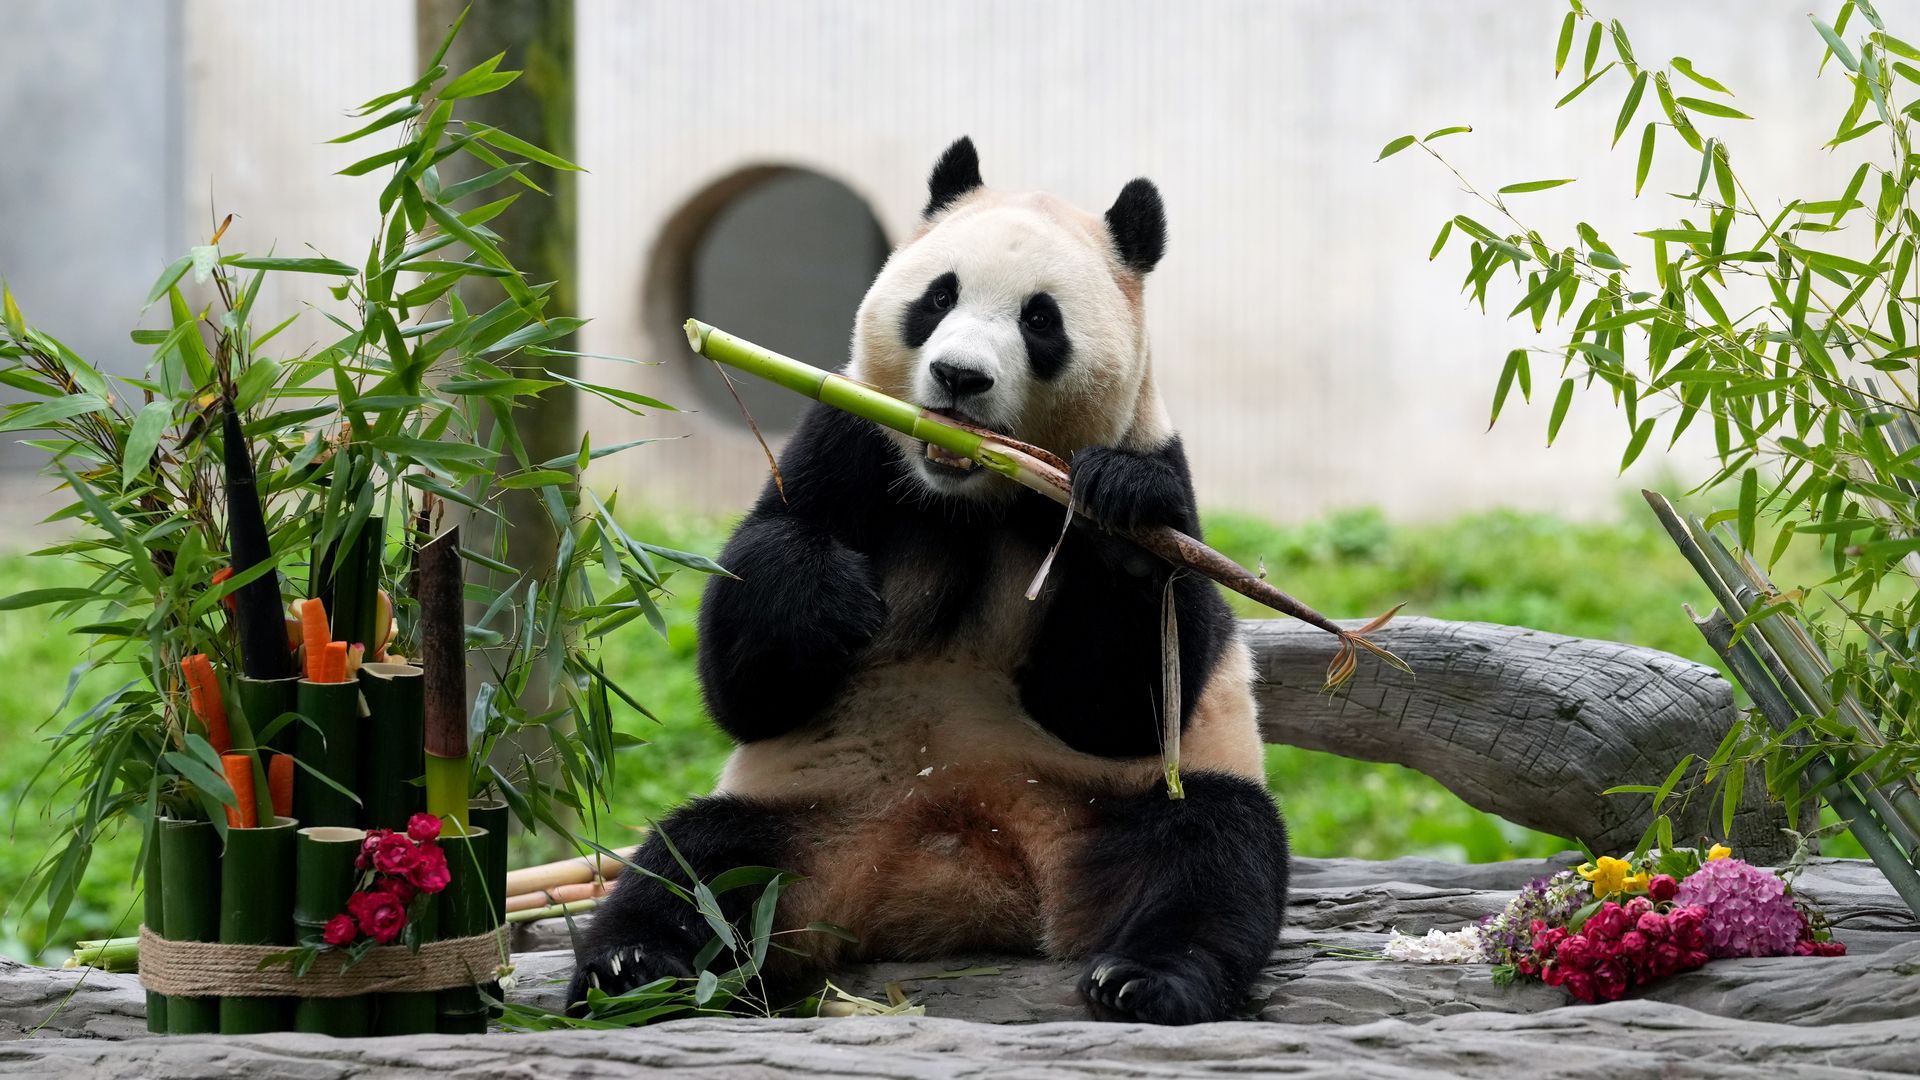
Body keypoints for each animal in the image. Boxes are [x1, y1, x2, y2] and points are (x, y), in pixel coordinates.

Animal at [570, 137, 1291, 1025]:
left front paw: (1118, 511)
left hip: (1111, 807)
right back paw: (633, 969)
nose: (958, 377)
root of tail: (945, 877)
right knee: (694, 863)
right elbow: (746, 681)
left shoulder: (1154, 469)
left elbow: (1122, 702)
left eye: (1040, 319)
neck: (966, 495)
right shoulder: (847, 445)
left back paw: (1144, 979)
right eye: (938, 297)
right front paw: (826, 594)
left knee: (1212, 853)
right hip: (800, 817)